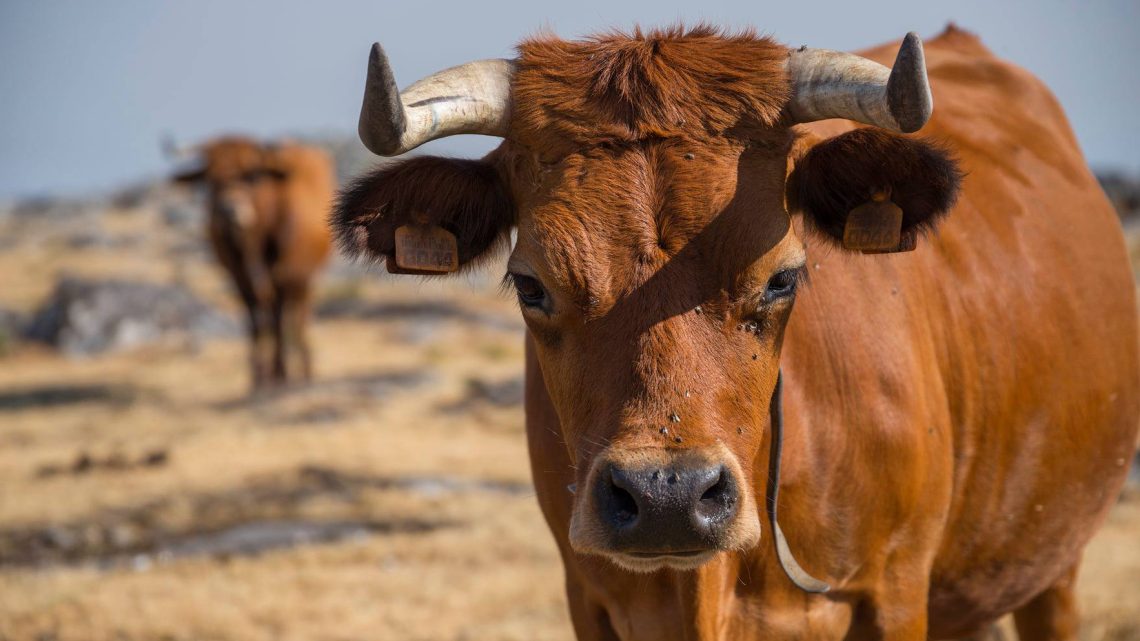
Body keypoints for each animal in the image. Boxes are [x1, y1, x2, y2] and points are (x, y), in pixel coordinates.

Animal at [167, 135, 332, 390]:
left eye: (252, 176)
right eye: (210, 178)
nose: (230, 210)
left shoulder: (284, 274)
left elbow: (278, 318)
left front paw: (280, 371)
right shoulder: (239, 277)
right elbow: (255, 320)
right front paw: (258, 375)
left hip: (305, 279)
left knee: (299, 317)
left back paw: (304, 368)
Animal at [332, 23, 1140, 638]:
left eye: (783, 278)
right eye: (531, 285)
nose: (666, 496)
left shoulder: (896, 592)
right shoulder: (589, 599)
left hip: (1053, 565)